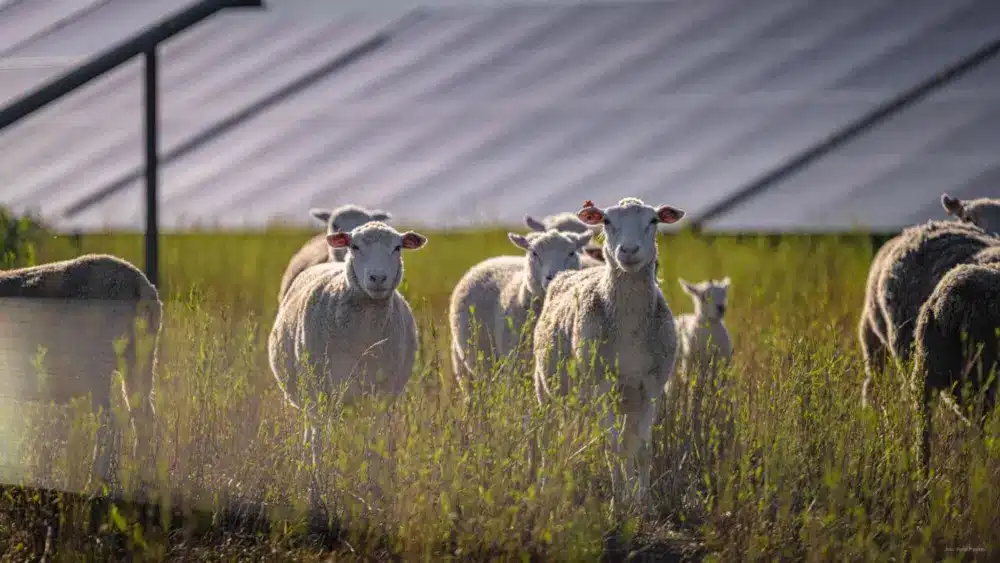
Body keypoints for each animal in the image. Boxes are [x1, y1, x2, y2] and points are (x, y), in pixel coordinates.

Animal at [0, 253, 162, 493]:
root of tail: (144, 287)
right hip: (142, 359)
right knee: (143, 416)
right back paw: (139, 482)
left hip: (98, 365)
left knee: (109, 421)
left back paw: (93, 485)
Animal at [268, 221, 426, 520]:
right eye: (355, 246)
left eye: (397, 247)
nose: (378, 278)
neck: (364, 336)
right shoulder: (321, 392)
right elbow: (321, 446)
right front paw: (319, 497)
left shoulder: (381, 398)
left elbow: (373, 447)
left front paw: (373, 497)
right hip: (312, 396)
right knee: (313, 438)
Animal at [448, 228, 594, 391]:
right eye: (534, 253)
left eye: (571, 253)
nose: (553, 276)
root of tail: (491, 260)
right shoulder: (516, 364)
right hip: (467, 364)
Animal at [531, 197, 685, 509]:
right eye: (607, 221)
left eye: (653, 220)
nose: (628, 250)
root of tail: (568, 274)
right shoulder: (602, 386)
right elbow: (613, 447)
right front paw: (619, 501)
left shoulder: (651, 387)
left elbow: (641, 448)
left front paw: (642, 502)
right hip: (547, 389)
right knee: (548, 436)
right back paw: (546, 483)